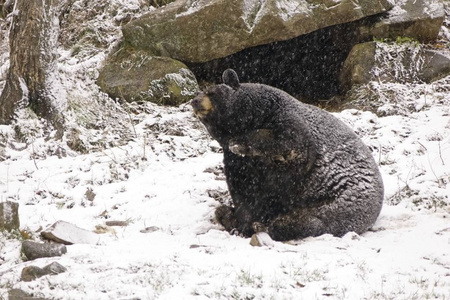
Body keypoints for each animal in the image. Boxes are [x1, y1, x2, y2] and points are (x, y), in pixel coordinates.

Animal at [190, 69, 384, 240]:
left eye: (211, 92)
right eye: (203, 91)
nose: (194, 101)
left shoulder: (287, 119)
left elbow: (291, 144)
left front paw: (240, 142)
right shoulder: (238, 163)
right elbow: (245, 191)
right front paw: (239, 223)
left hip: (341, 201)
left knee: (313, 220)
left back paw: (267, 226)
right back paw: (226, 213)